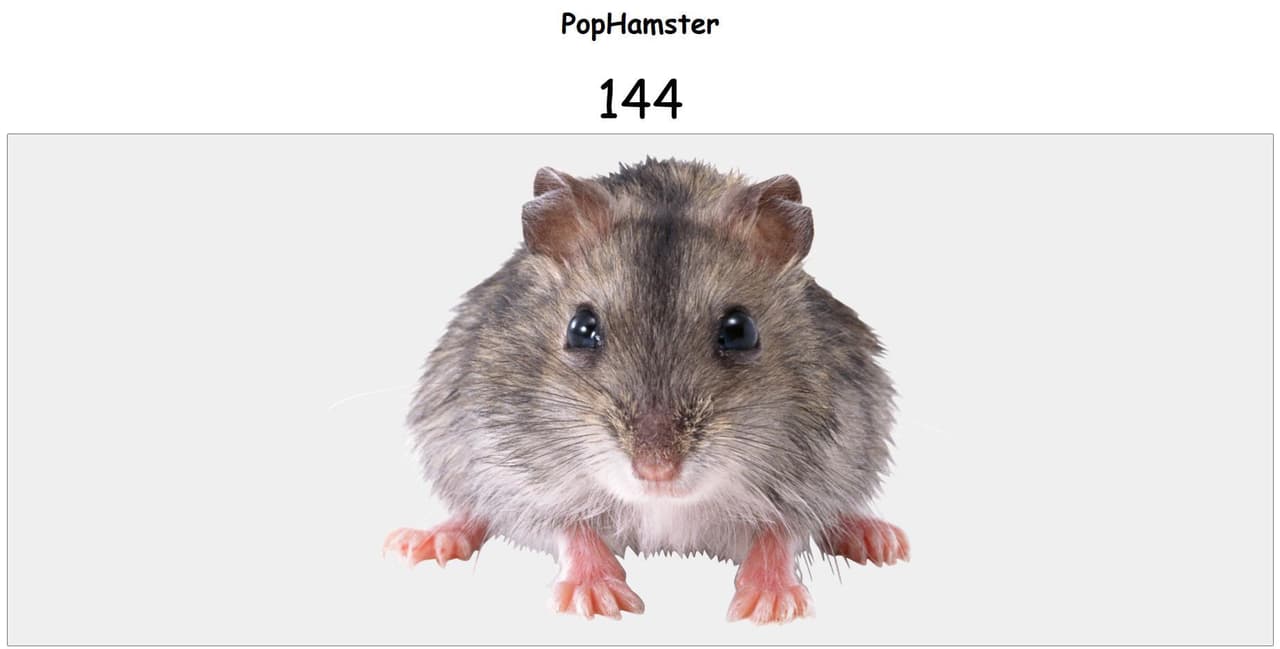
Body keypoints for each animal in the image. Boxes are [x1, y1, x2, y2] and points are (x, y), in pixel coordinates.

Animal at [384, 159, 908, 624]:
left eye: (740, 331)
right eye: (580, 328)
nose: (656, 470)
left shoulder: (827, 465)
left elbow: (781, 533)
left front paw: (771, 607)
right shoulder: (507, 466)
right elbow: (567, 525)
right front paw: (597, 600)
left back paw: (878, 539)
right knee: (472, 510)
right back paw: (423, 541)